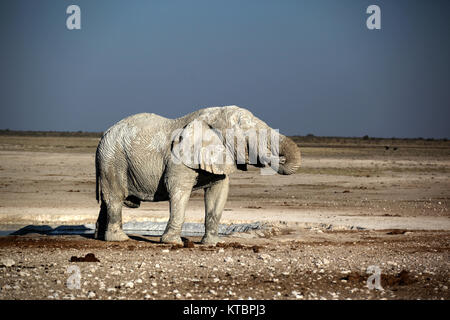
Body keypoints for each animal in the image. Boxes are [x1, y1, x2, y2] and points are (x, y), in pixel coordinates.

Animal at [93, 106, 300, 244]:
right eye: (246, 133)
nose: (279, 159)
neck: (212, 116)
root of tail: (104, 134)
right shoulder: (178, 157)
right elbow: (178, 188)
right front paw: (173, 243)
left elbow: (218, 192)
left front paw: (212, 244)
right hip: (112, 157)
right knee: (115, 196)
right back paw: (120, 239)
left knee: (107, 200)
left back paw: (99, 237)